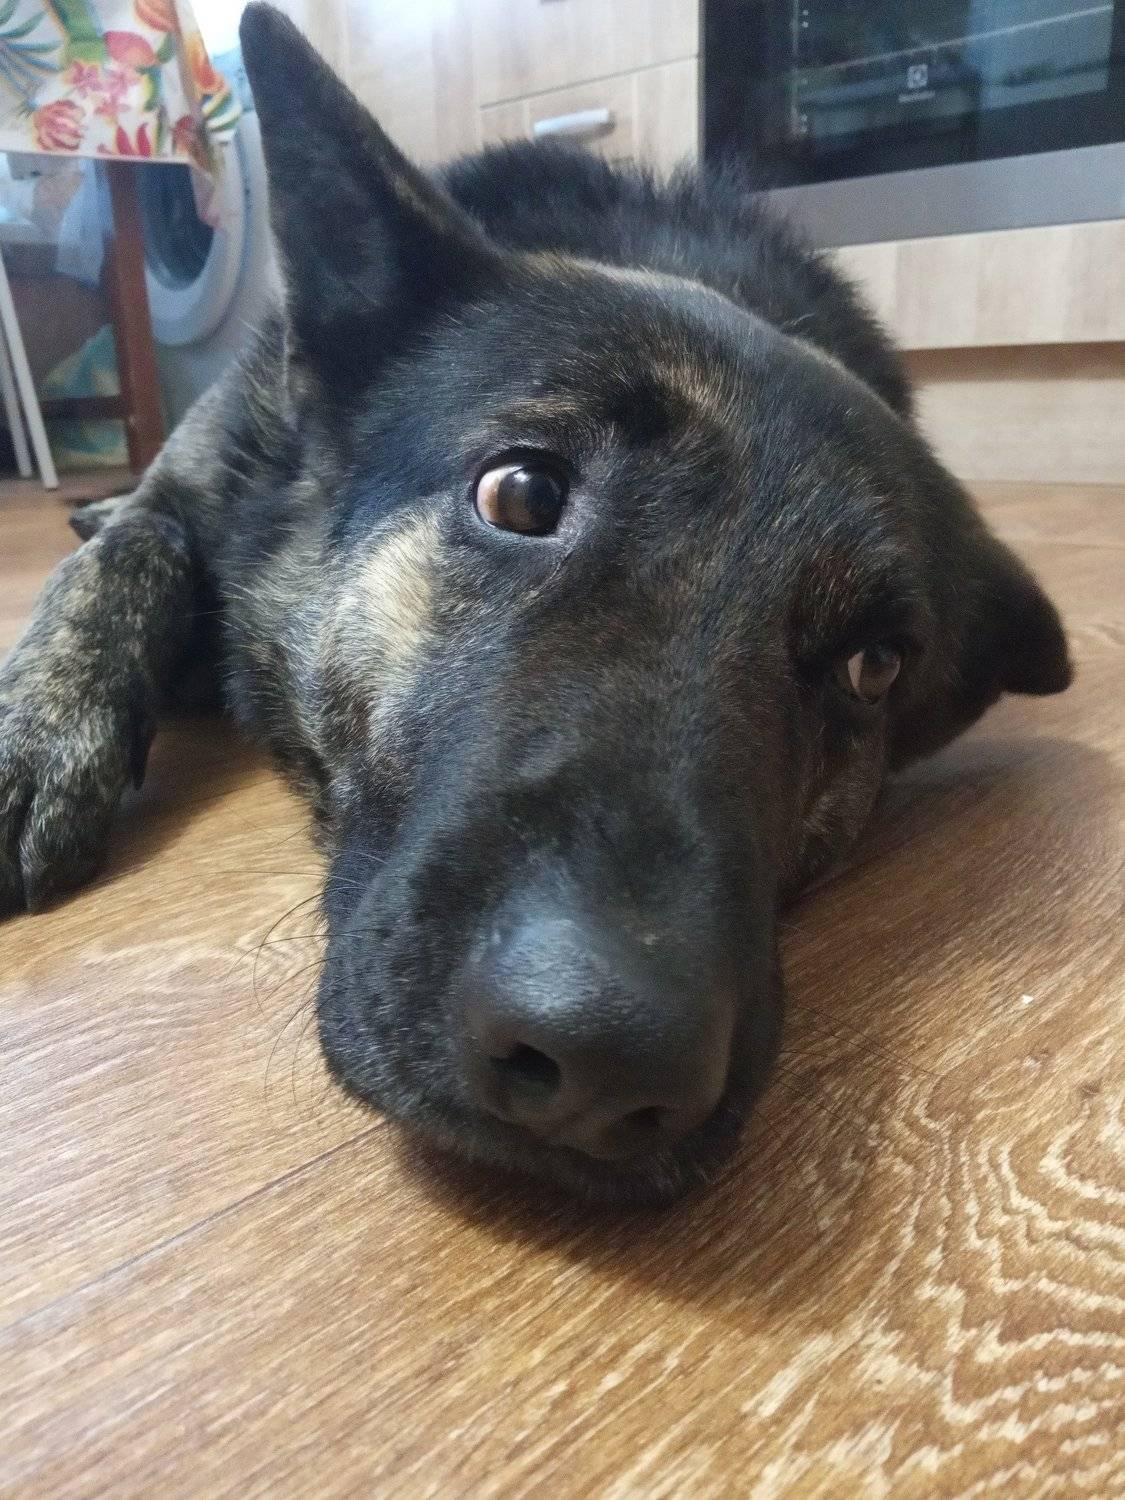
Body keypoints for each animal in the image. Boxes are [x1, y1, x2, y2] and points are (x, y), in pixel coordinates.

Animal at [0, 5, 1072, 1203]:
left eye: (874, 666)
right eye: (520, 494)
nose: (607, 1058)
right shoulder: (196, 480)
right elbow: (125, 559)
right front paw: (34, 732)